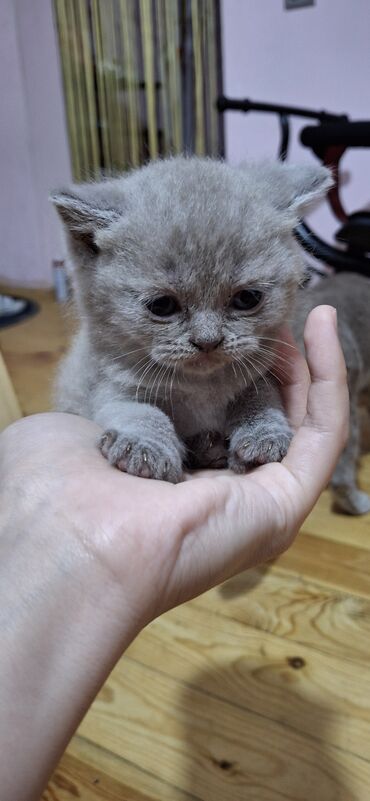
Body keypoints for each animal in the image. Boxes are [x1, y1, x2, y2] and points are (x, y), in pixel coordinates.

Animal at [51, 158, 370, 512]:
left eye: (247, 298)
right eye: (162, 305)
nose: (207, 340)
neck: (200, 388)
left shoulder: (259, 374)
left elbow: (260, 397)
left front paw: (263, 434)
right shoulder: (109, 384)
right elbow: (136, 410)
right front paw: (145, 447)